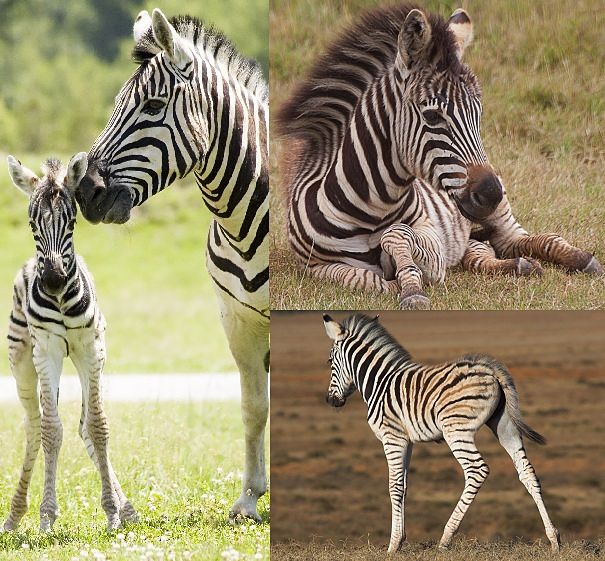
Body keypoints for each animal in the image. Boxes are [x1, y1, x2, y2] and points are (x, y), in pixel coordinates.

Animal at [1, 153, 136, 528]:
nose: (53, 279)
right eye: (32, 223)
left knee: (83, 427)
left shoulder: (90, 349)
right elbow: (50, 430)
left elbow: (97, 426)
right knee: (34, 426)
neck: (61, 299)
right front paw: (47, 515)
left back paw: (126, 508)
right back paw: (15, 515)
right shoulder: (46, 351)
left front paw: (113, 511)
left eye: (72, 222)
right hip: (22, 361)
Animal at [73, 8, 266, 520]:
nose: (85, 192)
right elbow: (253, 406)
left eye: (153, 107)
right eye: (116, 105)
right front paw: (249, 499)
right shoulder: (236, 319)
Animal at [278, 4, 600, 308]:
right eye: (433, 116)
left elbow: (397, 235)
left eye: (478, 115)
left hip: (499, 213)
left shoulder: (433, 239)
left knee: (520, 238)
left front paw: (411, 283)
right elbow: (368, 280)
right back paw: (517, 265)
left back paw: (580, 258)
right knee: (484, 252)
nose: (491, 194)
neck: (371, 208)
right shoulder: (315, 266)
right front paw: (404, 286)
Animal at [324, 312, 560, 552]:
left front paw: (393, 545)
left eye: (330, 362)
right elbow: (404, 485)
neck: (379, 382)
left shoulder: (392, 437)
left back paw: (446, 538)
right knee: (527, 472)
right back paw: (554, 539)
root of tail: (490, 369)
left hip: (456, 430)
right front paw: (401, 539)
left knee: (477, 470)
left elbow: (394, 486)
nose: (331, 401)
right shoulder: (407, 440)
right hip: (504, 424)